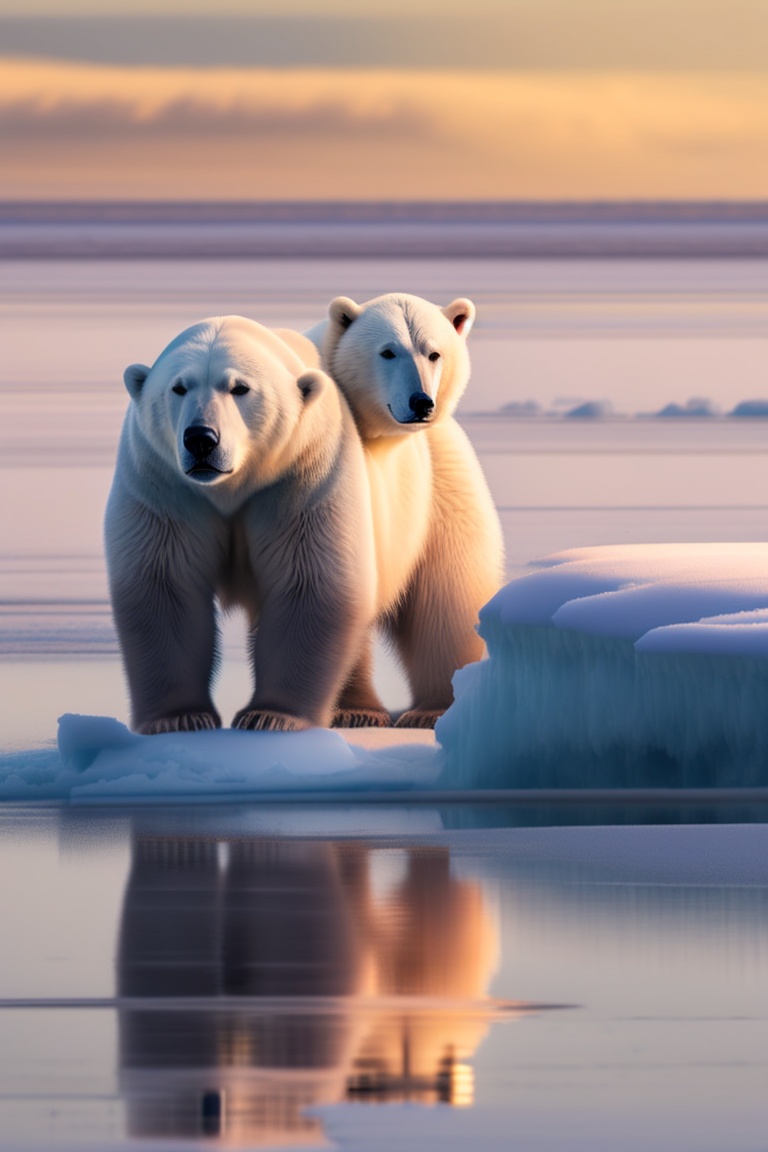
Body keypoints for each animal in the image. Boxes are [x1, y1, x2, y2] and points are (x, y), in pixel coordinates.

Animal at [105, 316, 377, 735]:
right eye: (179, 386)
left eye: (240, 388)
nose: (201, 439)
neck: (232, 486)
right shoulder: (164, 487)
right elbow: (166, 587)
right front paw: (181, 718)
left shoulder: (301, 478)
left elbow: (308, 583)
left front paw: (270, 716)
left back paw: (357, 710)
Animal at [307, 292, 505, 728]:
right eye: (387, 351)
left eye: (434, 352)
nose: (421, 403)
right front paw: (352, 709)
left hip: (442, 492)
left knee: (447, 597)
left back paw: (432, 709)